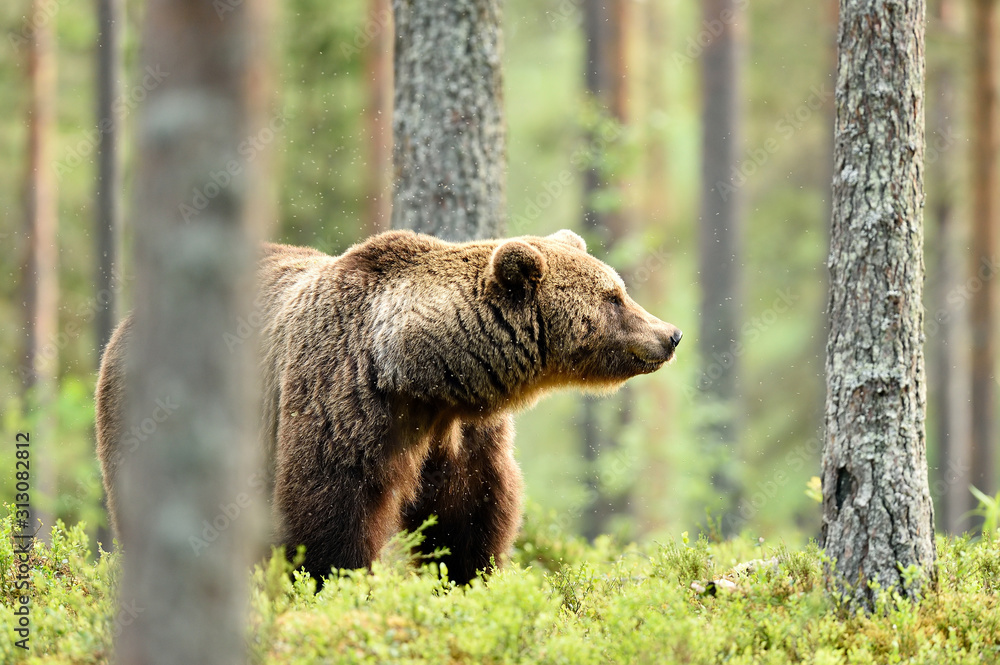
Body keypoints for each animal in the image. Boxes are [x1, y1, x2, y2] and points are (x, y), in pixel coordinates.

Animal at [96, 229, 682, 584]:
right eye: (614, 297)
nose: (670, 334)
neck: (416, 371)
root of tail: (124, 325)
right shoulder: (342, 397)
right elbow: (329, 510)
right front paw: (337, 585)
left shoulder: (464, 429)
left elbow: (471, 511)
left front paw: (468, 578)